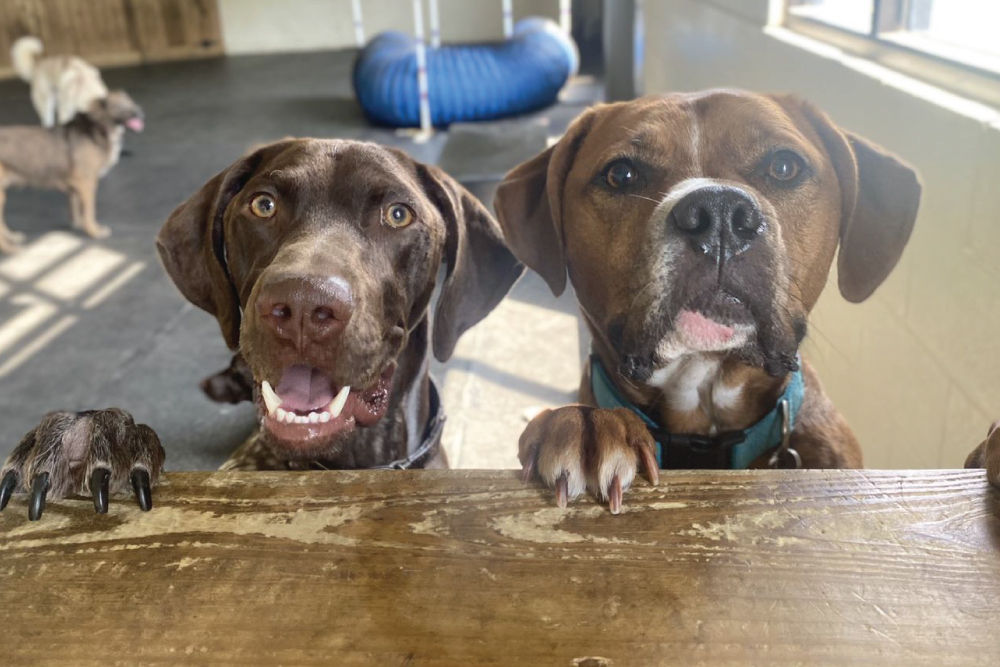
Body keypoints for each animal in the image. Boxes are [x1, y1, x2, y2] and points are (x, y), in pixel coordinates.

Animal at [0, 90, 146, 252]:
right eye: (119, 106)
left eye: (131, 101)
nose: (140, 112)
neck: (98, 127)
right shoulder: (87, 183)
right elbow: (90, 211)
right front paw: (94, 231)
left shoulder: (75, 185)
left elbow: (75, 206)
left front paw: (78, 224)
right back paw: (9, 248)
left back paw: (12, 237)